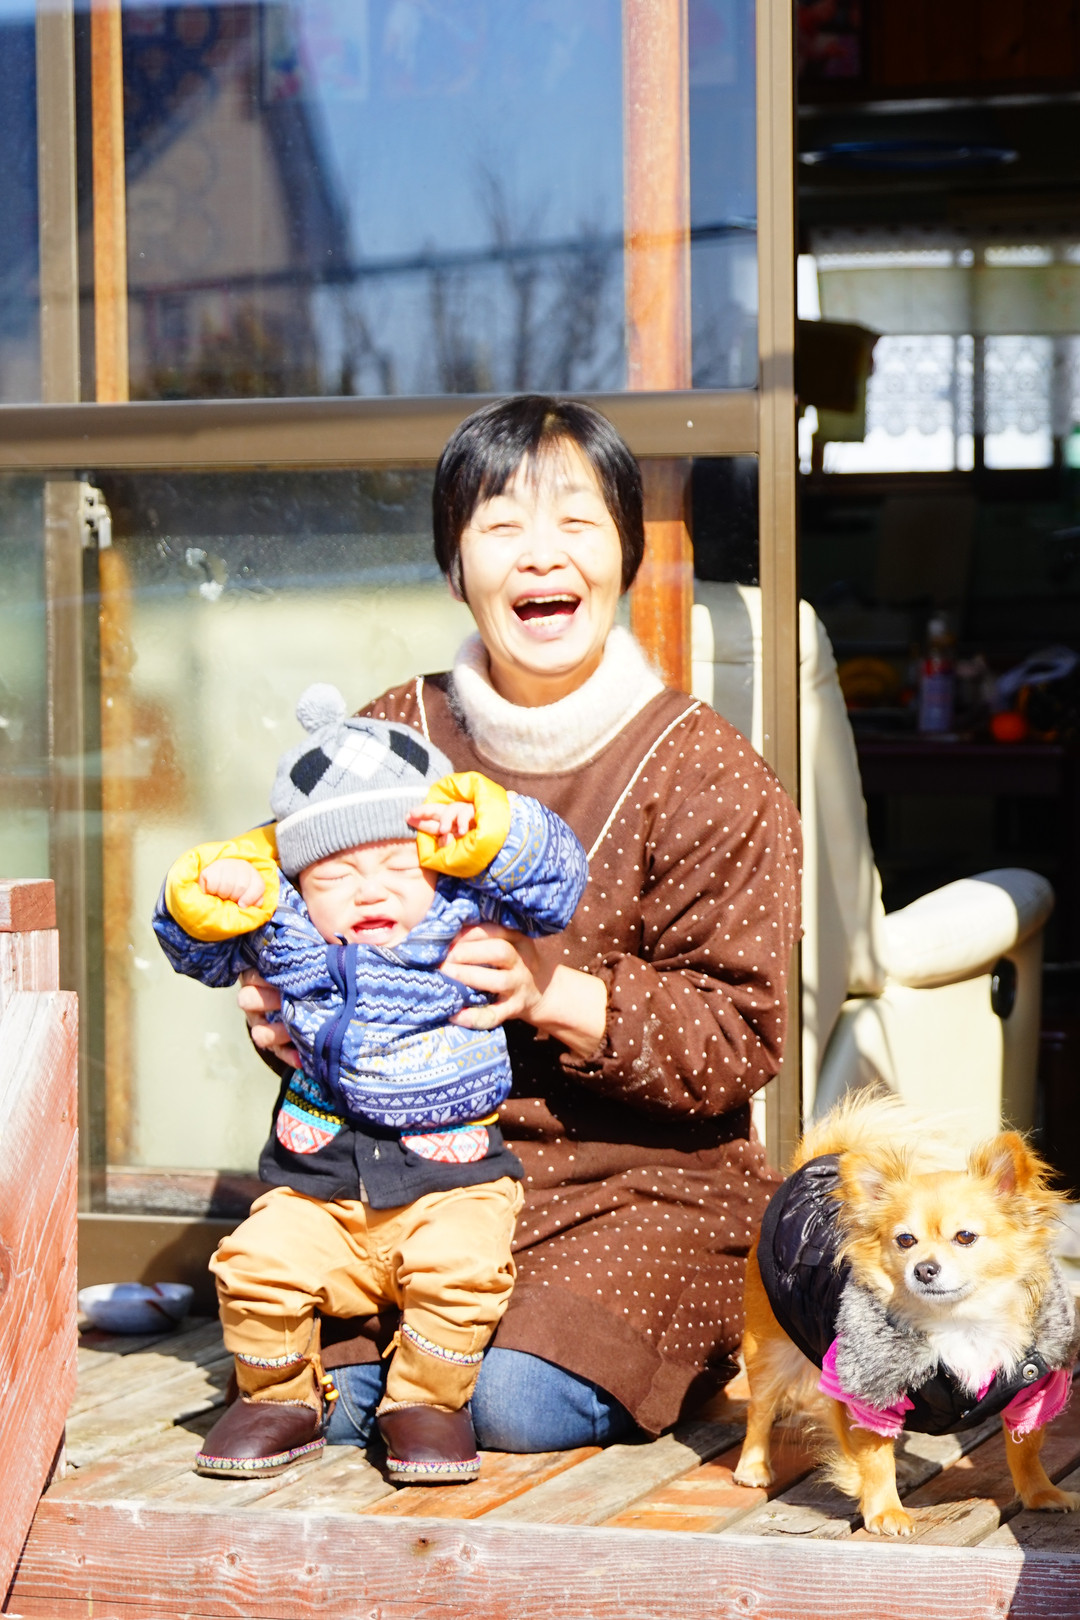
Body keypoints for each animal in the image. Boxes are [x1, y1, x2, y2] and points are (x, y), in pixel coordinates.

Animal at [732, 1094, 1080, 1536]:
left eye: (965, 1237)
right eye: (905, 1240)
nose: (924, 1269)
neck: (959, 1323)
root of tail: (811, 1164)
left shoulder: (1033, 1390)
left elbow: (1027, 1450)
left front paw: (1040, 1493)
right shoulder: (866, 1391)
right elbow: (873, 1456)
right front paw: (883, 1509)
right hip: (770, 1347)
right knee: (760, 1406)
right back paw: (753, 1466)